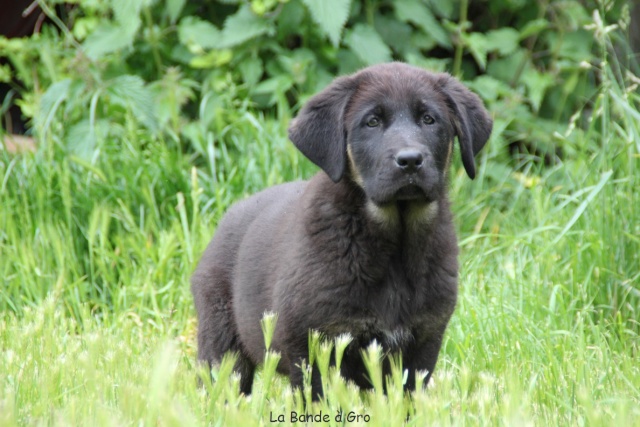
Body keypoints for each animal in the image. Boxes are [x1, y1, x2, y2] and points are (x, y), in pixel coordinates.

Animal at [190, 61, 490, 400]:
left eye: (429, 119)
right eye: (372, 121)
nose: (411, 160)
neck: (393, 244)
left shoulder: (424, 340)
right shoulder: (311, 343)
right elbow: (317, 396)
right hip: (221, 343)